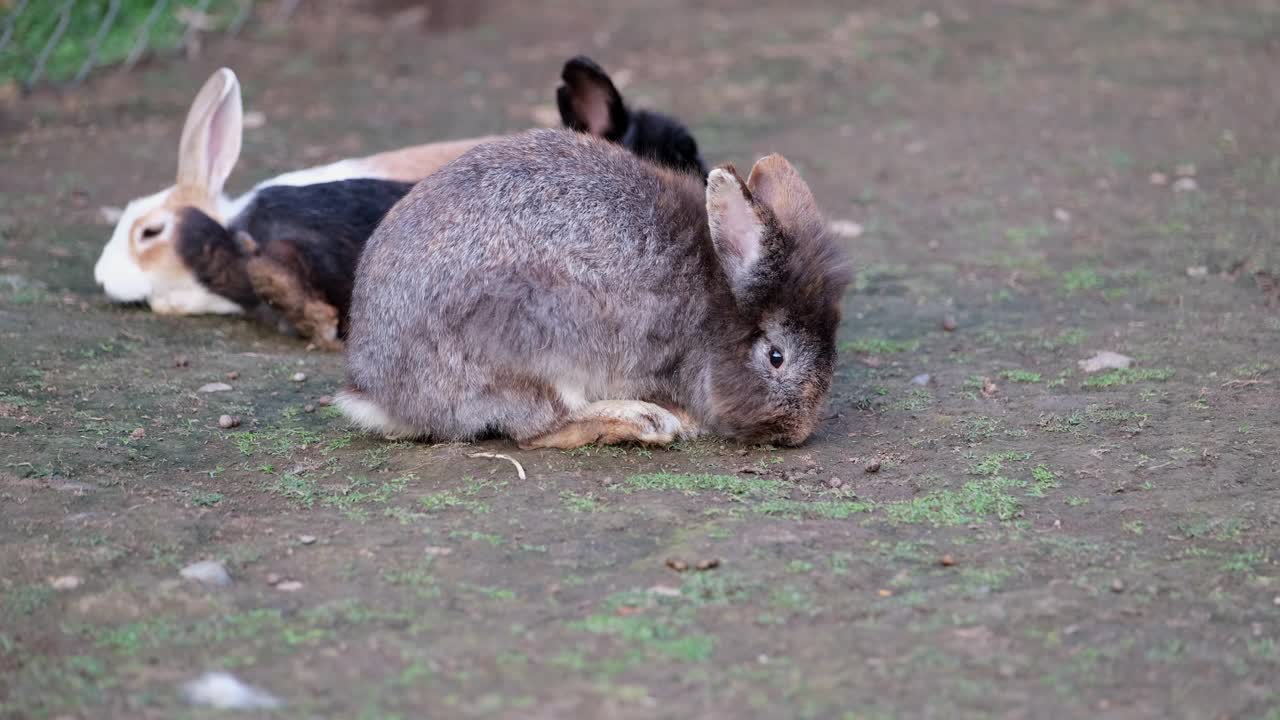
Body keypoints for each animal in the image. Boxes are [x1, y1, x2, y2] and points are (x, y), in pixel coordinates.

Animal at [337, 126, 849, 445]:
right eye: (776, 357)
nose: (794, 432)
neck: (713, 298)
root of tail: (378, 391)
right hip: (530, 339)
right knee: (538, 429)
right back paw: (648, 422)